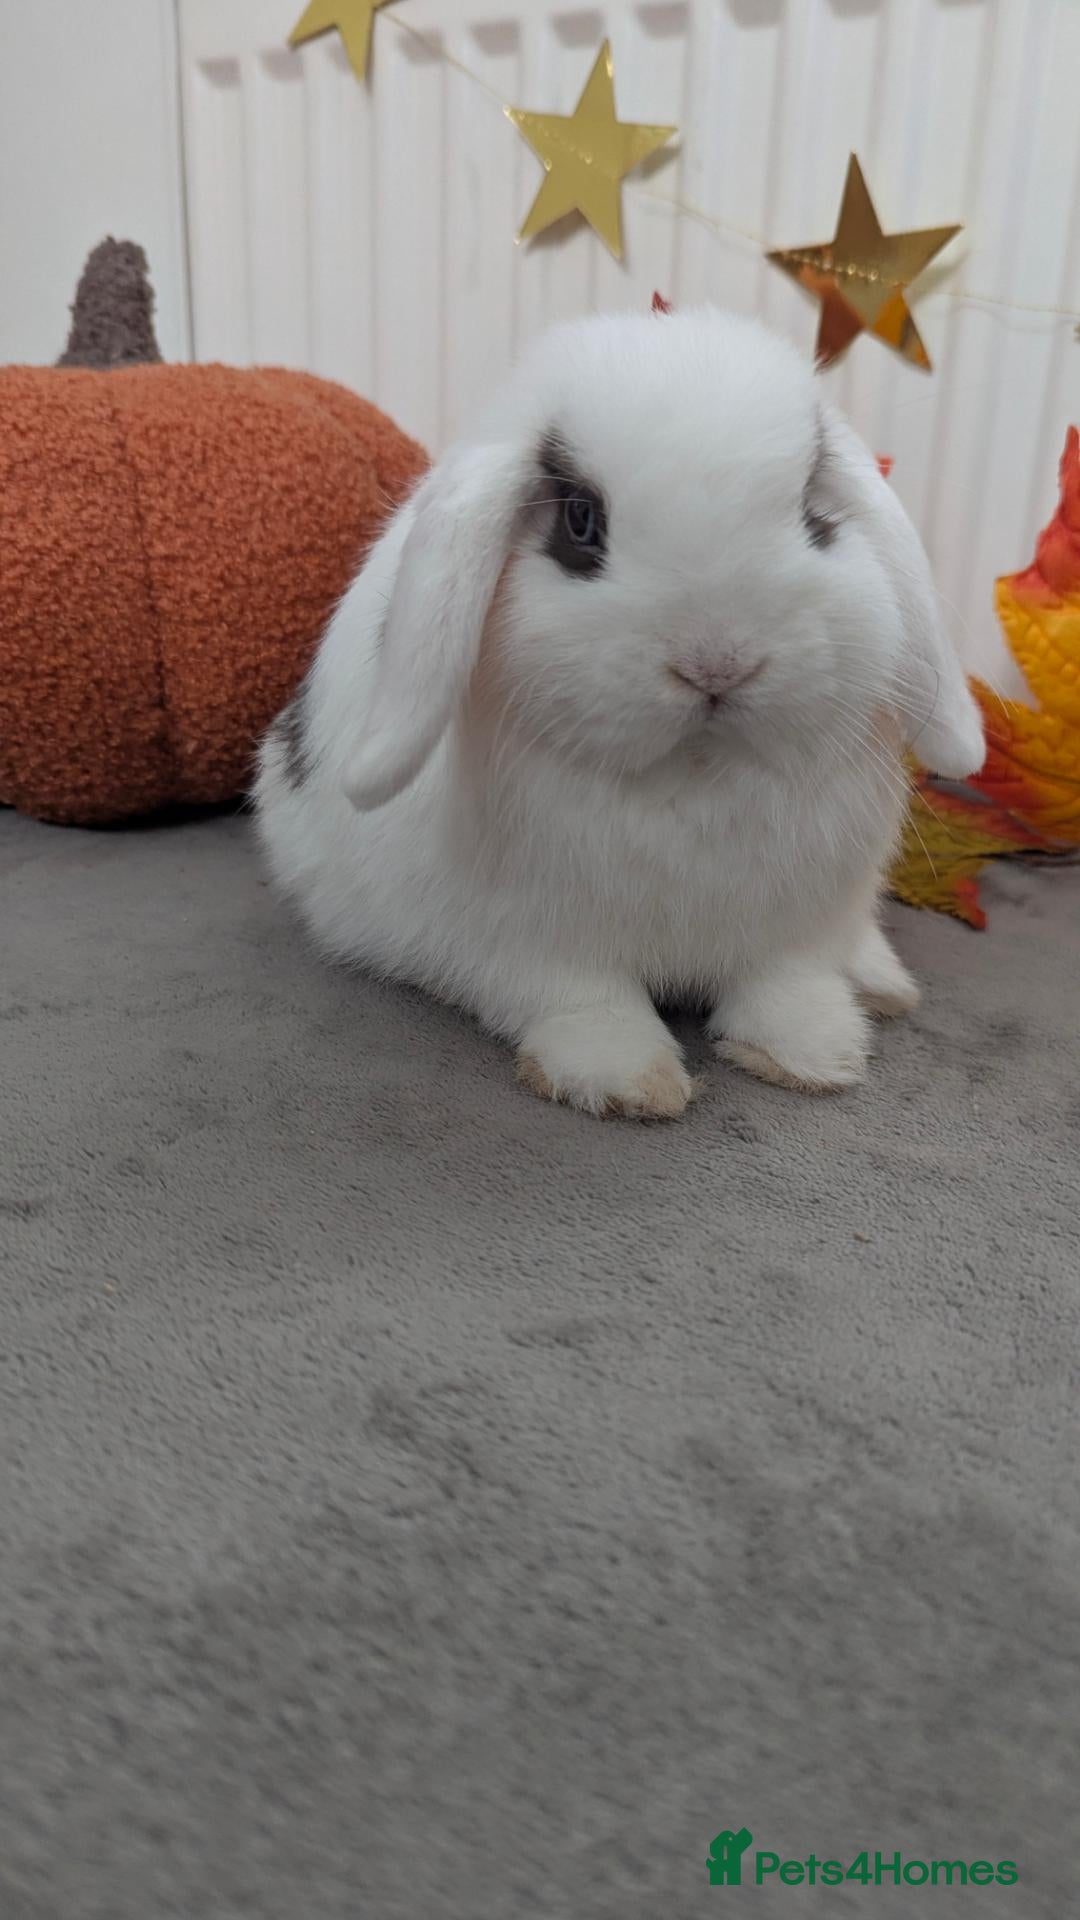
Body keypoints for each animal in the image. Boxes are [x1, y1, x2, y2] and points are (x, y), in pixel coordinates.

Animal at [254, 306, 984, 1120]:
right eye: (581, 521)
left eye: (810, 515)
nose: (717, 662)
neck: (693, 772)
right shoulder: (532, 944)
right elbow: (585, 1002)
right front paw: (625, 1082)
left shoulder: (791, 930)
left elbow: (785, 986)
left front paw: (813, 1056)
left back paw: (883, 986)